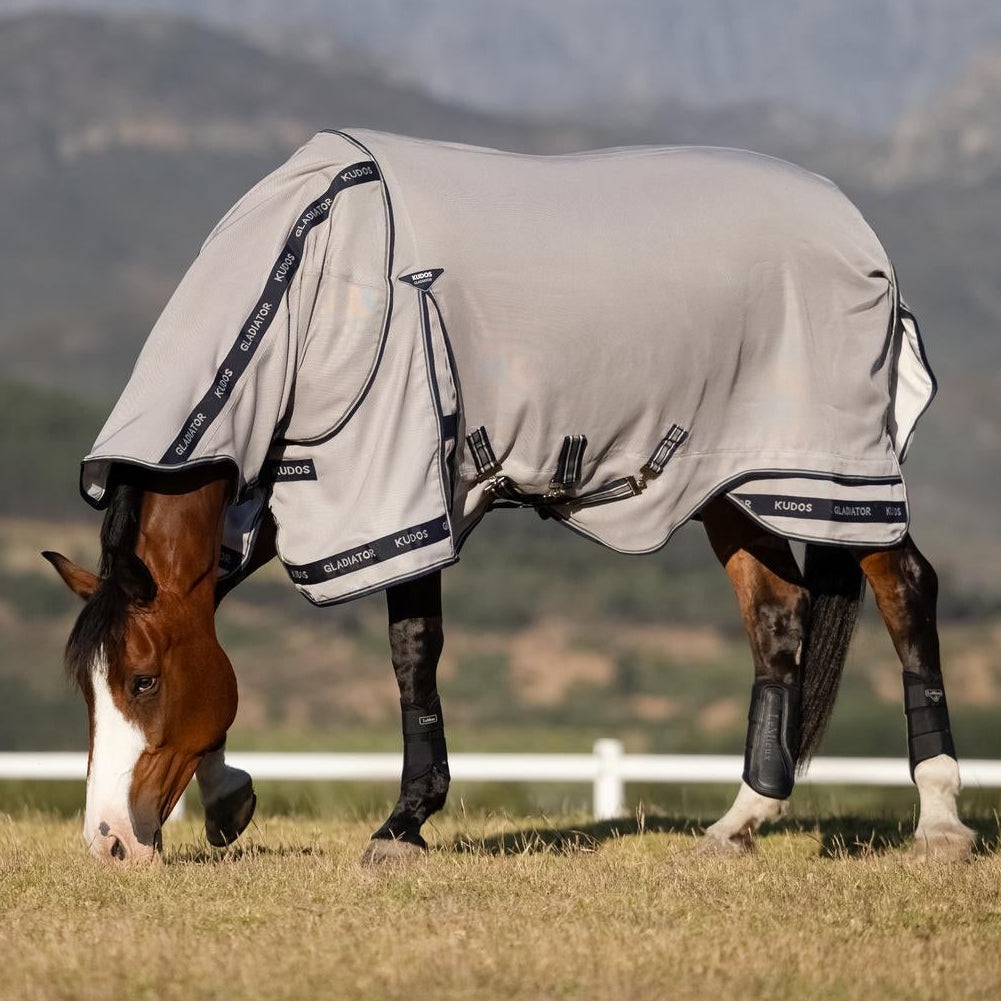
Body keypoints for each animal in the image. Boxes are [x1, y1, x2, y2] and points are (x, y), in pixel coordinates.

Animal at [43, 129, 976, 864]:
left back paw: (938, 821)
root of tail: (850, 221)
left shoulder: (397, 484)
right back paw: (741, 820)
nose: (109, 841)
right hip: (736, 484)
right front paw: (230, 792)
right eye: (86, 689)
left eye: (143, 680)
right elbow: (216, 608)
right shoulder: (286, 493)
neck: (310, 280)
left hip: (839, 472)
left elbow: (412, 649)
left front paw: (403, 824)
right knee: (779, 620)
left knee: (905, 590)